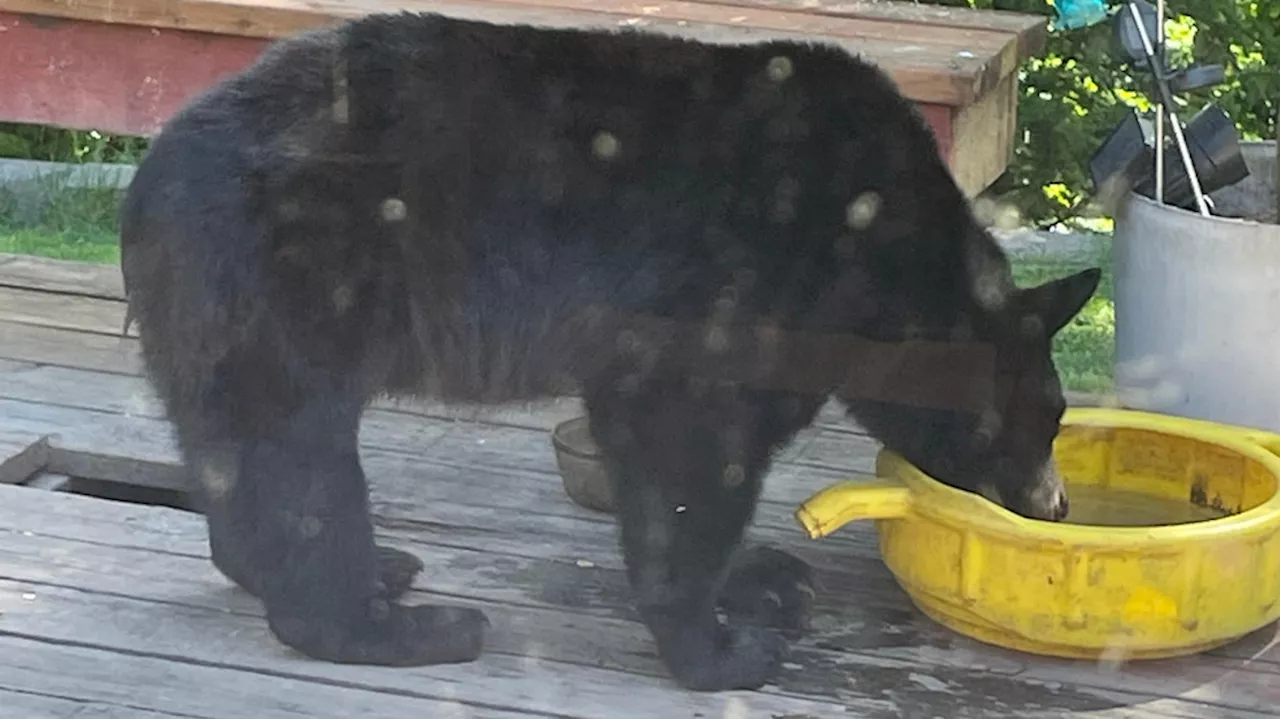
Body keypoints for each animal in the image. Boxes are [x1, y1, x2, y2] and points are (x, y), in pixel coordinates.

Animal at [120, 11, 1100, 690]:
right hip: (288, 278)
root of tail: (151, 172)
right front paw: (724, 647)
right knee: (297, 457)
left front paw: (761, 575)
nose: (1054, 504)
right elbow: (691, 447)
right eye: (1042, 417)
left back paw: (370, 572)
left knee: (239, 457)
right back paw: (400, 624)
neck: (882, 261)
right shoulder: (742, 286)